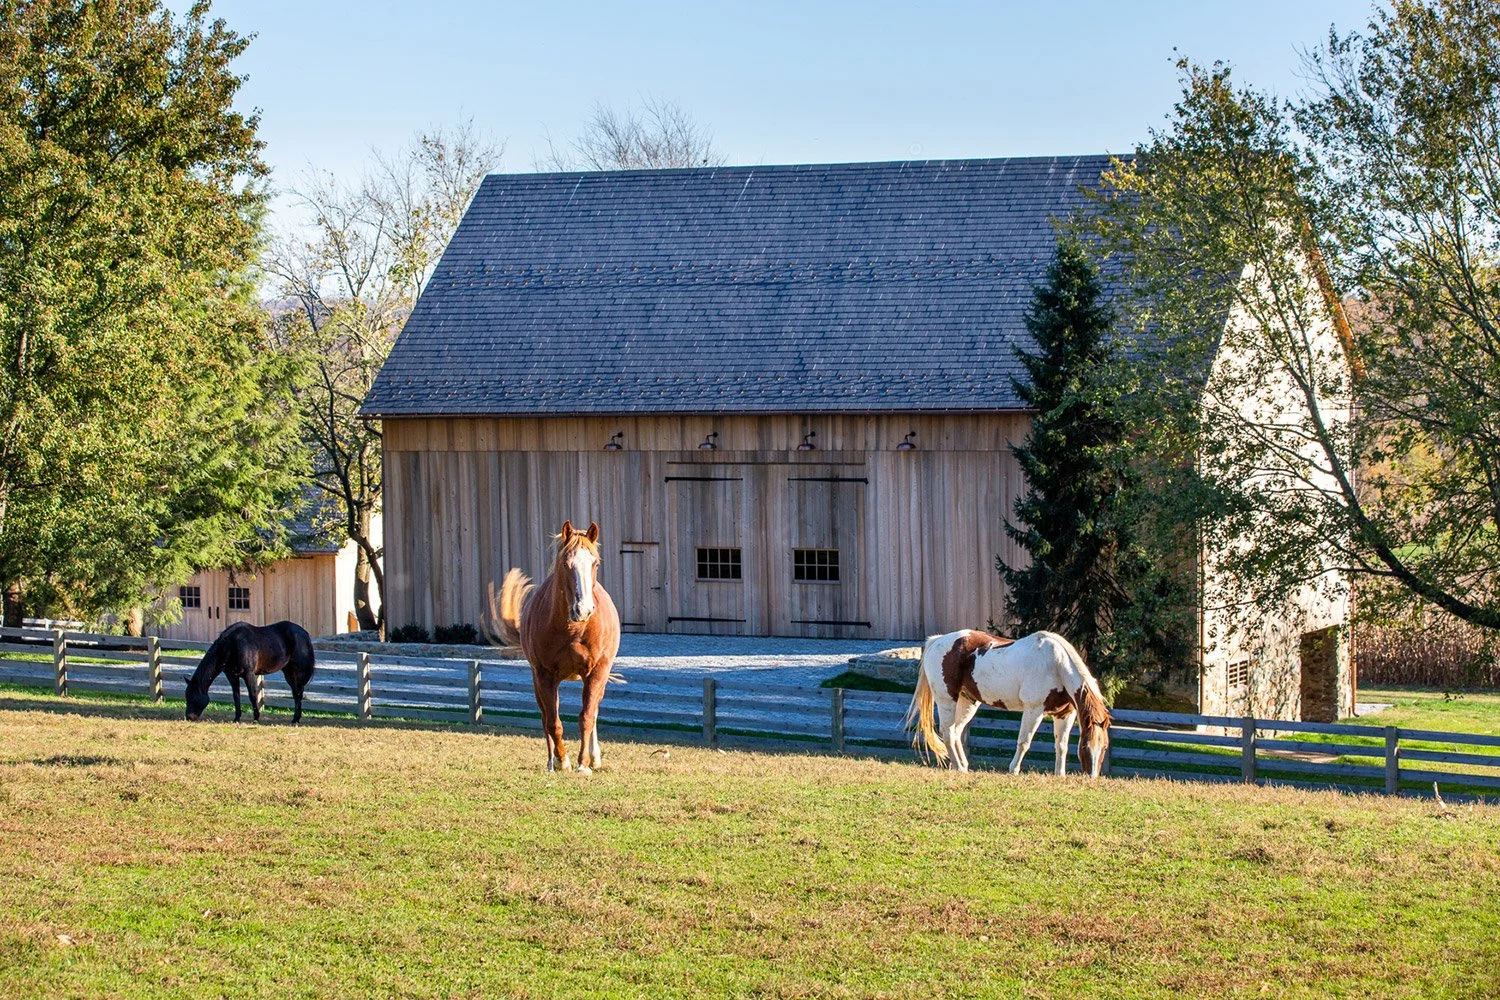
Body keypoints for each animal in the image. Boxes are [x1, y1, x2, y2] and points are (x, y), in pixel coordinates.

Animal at [184, 620, 317, 723]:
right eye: (187, 696)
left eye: (193, 697)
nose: (189, 717)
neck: (232, 645)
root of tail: (304, 633)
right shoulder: (231, 675)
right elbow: (236, 696)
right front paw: (237, 718)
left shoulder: (249, 674)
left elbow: (253, 695)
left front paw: (256, 718)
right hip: (288, 672)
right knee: (295, 693)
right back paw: (295, 718)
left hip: (298, 672)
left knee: (298, 693)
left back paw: (296, 719)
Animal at [487, 520, 621, 774]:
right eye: (565, 564)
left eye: (595, 563)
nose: (584, 610)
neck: (574, 630)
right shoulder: (544, 675)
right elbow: (553, 722)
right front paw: (563, 760)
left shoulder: (597, 672)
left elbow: (587, 716)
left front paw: (584, 763)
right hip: (542, 680)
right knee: (545, 716)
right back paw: (552, 761)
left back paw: (594, 757)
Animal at [905, 629, 1111, 777]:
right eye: (1085, 747)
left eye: (1104, 747)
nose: (1092, 776)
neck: (1057, 665)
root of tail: (937, 641)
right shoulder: (1033, 710)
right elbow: (1024, 742)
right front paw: (1014, 770)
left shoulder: (1065, 715)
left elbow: (1061, 745)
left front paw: (1059, 774)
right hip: (947, 700)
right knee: (947, 732)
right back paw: (959, 767)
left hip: (968, 702)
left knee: (956, 732)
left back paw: (962, 765)